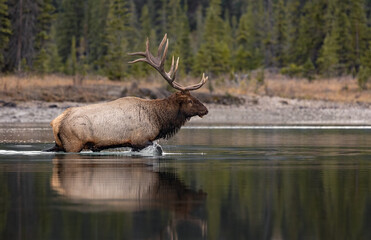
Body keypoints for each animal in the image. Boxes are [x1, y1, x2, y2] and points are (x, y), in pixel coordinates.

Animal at [46, 34, 208, 152]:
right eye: (190, 100)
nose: (205, 110)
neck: (158, 119)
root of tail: (56, 122)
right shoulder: (140, 139)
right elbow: (157, 149)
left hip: (59, 144)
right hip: (73, 144)